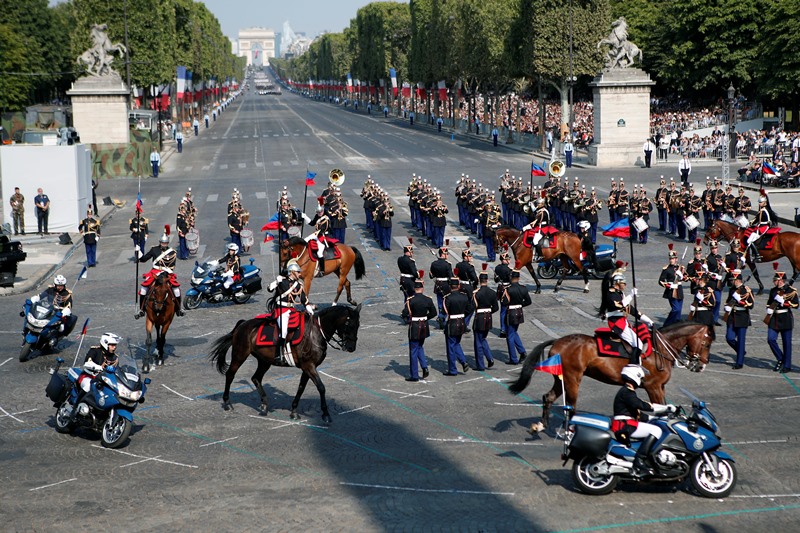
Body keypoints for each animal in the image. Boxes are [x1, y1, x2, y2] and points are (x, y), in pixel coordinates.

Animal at [209, 306, 366, 422]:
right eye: (348, 324)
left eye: (358, 325)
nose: (351, 347)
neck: (315, 333)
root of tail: (243, 324)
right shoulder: (309, 366)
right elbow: (321, 388)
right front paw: (326, 414)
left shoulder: (307, 368)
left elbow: (301, 388)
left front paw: (294, 411)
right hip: (239, 355)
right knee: (230, 375)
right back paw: (227, 403)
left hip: (264, 361)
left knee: (256, 378)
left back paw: (264, 405)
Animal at [506, 320, 712, 428]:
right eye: (707, 343)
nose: (701, 366)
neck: (660, 349)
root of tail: (558, 342)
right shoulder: (653, 387)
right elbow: (660, 407)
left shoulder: (660, 387)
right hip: (573, 378)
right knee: (570, 406)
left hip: (562, 379)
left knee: (548, 397)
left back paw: (542, 425)